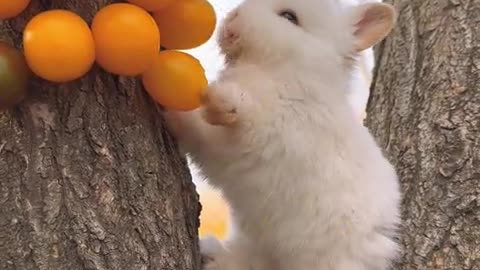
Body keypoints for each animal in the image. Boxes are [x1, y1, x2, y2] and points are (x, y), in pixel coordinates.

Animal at [165, 1, 402, 268]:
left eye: (290, 17)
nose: (233, 18)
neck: (282, 71)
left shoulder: (267, 128)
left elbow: (235, 113)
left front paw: (213, 97)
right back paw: (210, 254)